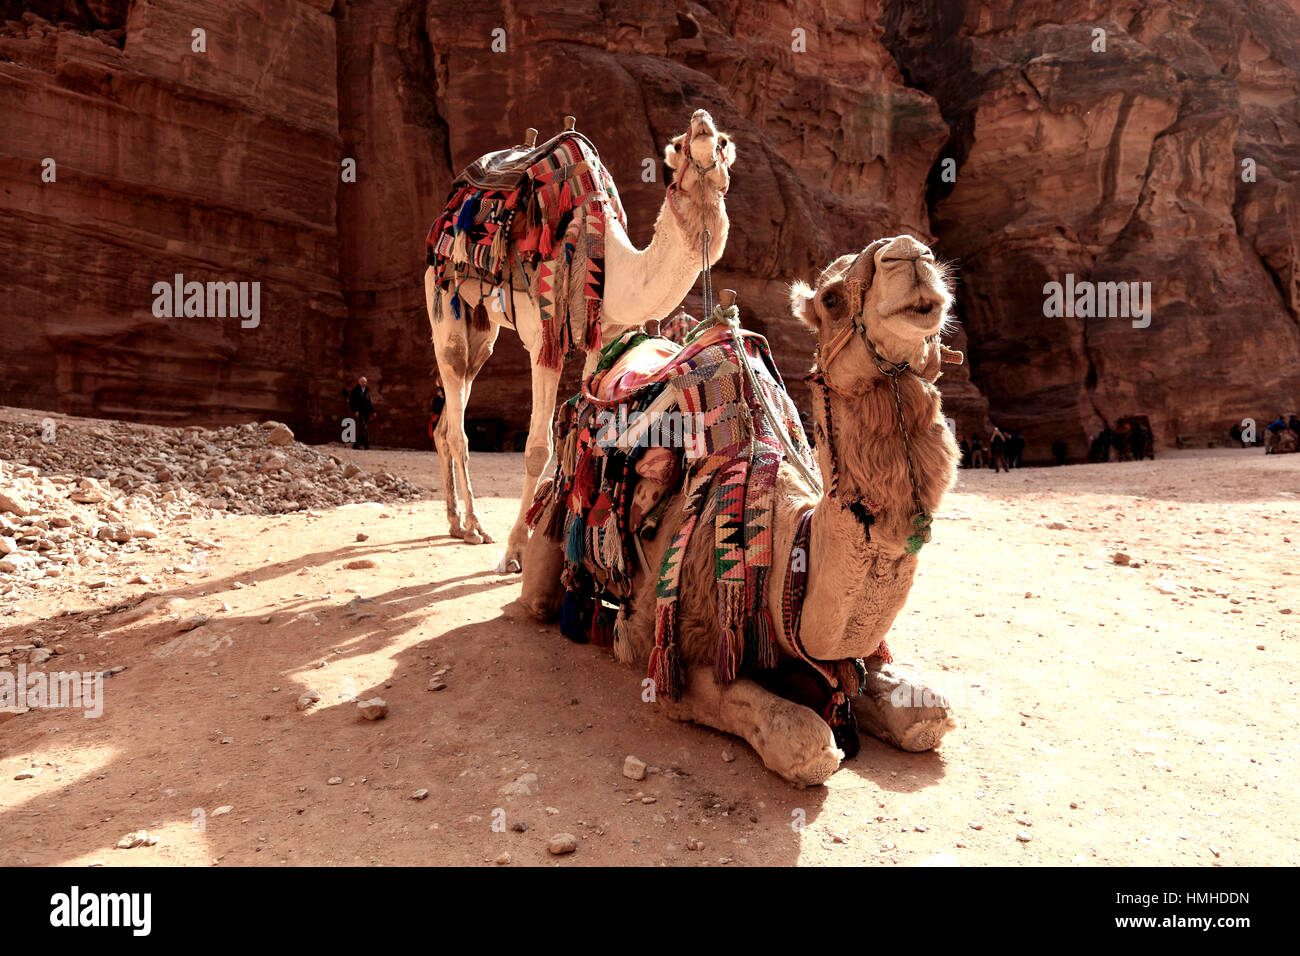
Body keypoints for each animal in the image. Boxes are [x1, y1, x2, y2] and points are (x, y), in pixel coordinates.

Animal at [423, 111, 738, 574]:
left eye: (722, 143)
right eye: (680, 145)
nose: (701, 121)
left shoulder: (599, 340)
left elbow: (588, 419)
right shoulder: (546, 339)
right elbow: (538, 448)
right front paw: (515, 552)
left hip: (481, 327)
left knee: (449, 415)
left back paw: (454, 521)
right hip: (441, 293)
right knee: (457, 412)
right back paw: (476, 526)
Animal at [520, 238, 967, 785]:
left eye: (930, 256)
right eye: (832, 299)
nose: (910, 254)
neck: (785, 543)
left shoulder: (840, 652)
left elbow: (929, 712)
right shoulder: (667, 646)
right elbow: (806, 740)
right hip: (554, 516)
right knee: (542, 595)